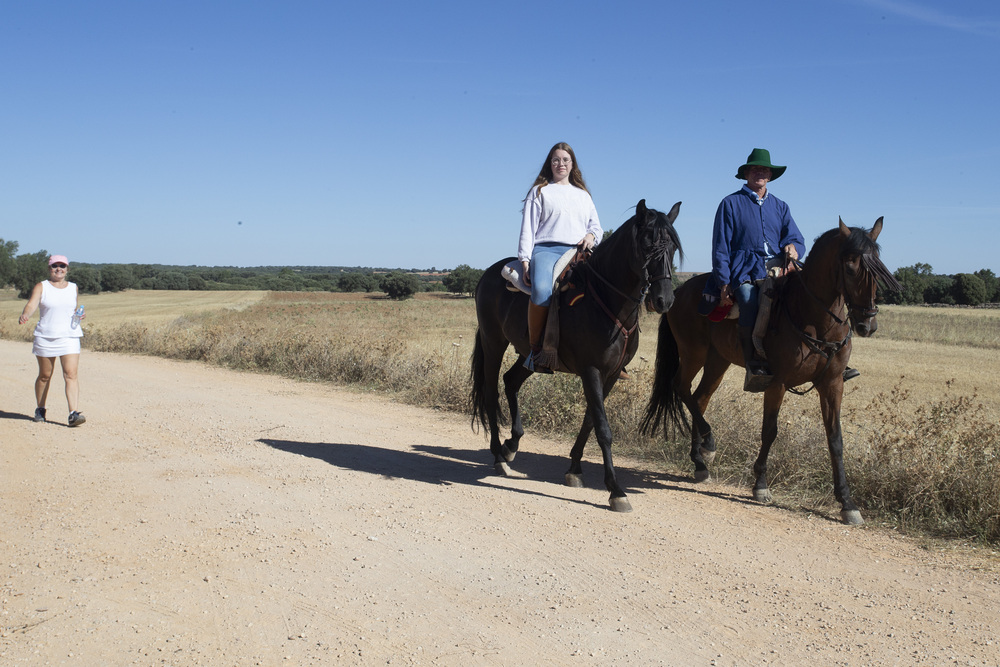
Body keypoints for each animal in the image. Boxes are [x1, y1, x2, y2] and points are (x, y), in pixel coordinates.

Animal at [472, 198, 684, 512]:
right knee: (490, 392)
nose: (664, 300)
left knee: (511, 382)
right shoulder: (591, 371)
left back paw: (512, 446)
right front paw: (616, 490)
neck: (608, 301)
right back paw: (499, 456)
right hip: (493, 343)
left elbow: (590, 420)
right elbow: (603, 428)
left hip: (529, 356)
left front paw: (574, 470)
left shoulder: (610, 375)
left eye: (671, 248)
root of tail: (488, 274)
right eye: (647, 246)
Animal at [644, 217, 904, 524]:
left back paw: (700, 460)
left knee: (700, 398)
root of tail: (679, 292)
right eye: (851, 265)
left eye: (877, 267)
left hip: (718, 360)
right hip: (693, 353)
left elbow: (836, 439)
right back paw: (708, 446)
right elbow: (770, 430)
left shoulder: (832, 384)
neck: (813, 317)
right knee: (681, 388)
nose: (867, 324)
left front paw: (847, 502)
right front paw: (760, 485)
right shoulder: (776, 383)